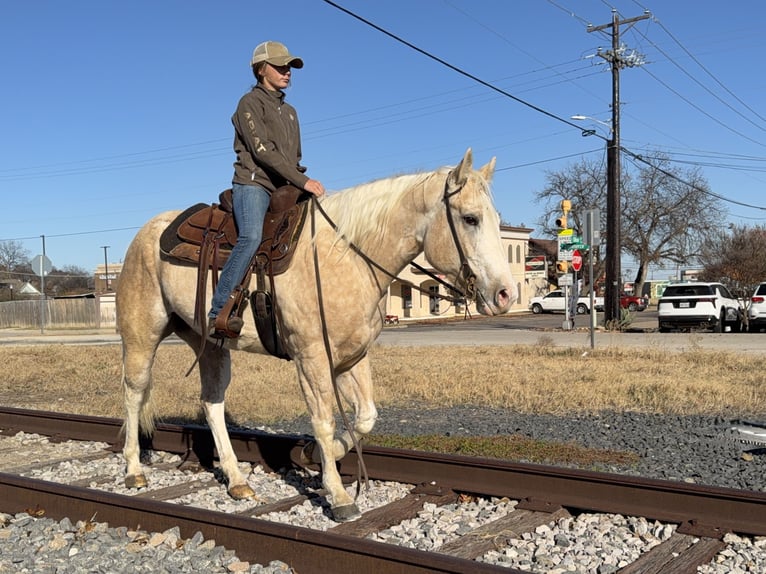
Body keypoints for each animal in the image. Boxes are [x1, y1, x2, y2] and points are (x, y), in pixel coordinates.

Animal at [116, 148, 516, 522]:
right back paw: (134, 471)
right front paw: (338, 496)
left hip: (213, 347)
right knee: (134, 395)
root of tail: (145, 234)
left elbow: (365, 416)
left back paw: (237, 481)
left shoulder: (352, 357)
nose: (505, 294)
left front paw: (315, 453)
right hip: (142, 336)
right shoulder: (311, 358)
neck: (347, 257)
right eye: (470, 218)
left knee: (212, 404)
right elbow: (324, 421)